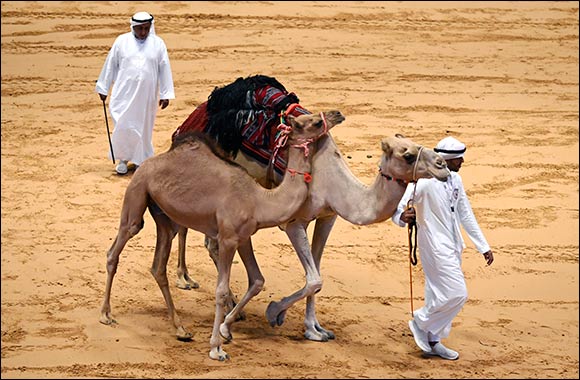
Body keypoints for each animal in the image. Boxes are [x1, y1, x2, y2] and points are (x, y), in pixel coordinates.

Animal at [98, 109, 344, 360]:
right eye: (315, 122)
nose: (337, 114)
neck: (259, 200)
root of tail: (146, 164)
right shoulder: (227, 238)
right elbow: (221, 291)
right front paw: (216, 347)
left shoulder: (243, 237)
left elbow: (257, 279)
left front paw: (227, 330)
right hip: (137, 194)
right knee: (117, 247)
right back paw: (106, 314)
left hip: (165, 217)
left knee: (158, 266)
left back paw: (181, 329)